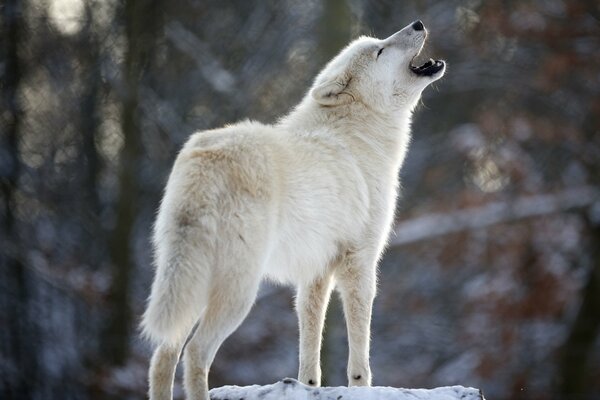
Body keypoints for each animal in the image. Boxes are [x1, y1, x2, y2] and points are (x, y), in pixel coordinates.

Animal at [143, 20, 446, 400]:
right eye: (380, 50)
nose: (418, 23)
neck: (358, 135)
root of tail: (205, 158)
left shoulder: (315, 271)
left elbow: (310, 341)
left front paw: (307, 386)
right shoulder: (359, 263)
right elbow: (360, 349)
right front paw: (361, 386)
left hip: (192, 284)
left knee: (162, 355)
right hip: (239, 292)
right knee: (195, 352)